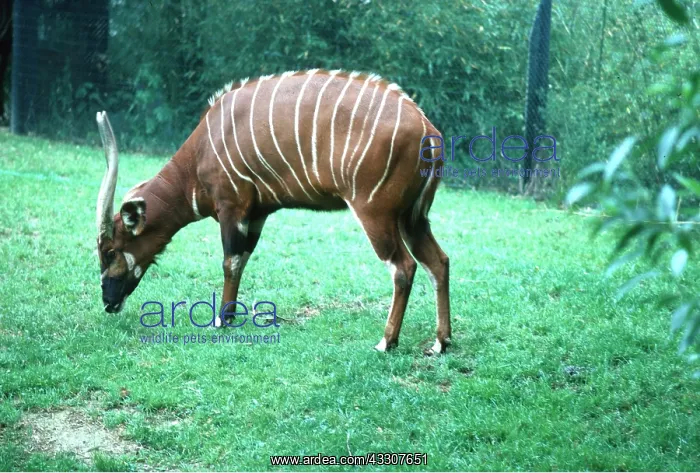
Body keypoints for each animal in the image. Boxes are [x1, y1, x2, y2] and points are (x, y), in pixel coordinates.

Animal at [96, 69, 451, 354]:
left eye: (111, 251)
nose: (108, 302)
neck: (201, 152)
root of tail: (428, 130)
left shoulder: (233, 207)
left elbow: (230, 262)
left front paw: (220, 320)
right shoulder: (258, 214)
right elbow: (241, 261)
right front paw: (230, 316)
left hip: (377, 213)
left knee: (403, 267)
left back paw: (386, 342)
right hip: (413, 218)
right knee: (439, 261)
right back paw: (440, 343)